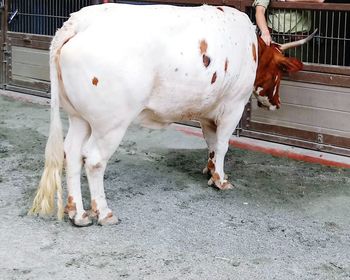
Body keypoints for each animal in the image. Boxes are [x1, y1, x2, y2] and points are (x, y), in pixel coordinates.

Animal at [29, 3, 314, 226]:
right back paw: (104, 213)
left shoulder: (207, 110)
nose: (277, 103)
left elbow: (211, 143)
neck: (251, 46)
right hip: (110, 122)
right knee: (95, 159)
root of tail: (80, 21)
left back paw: (77, 213)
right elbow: (222, 144)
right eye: (280, 72)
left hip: (80, 117)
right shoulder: (233, 104)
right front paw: (221, 180)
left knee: (72, 152)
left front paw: (210, 171)